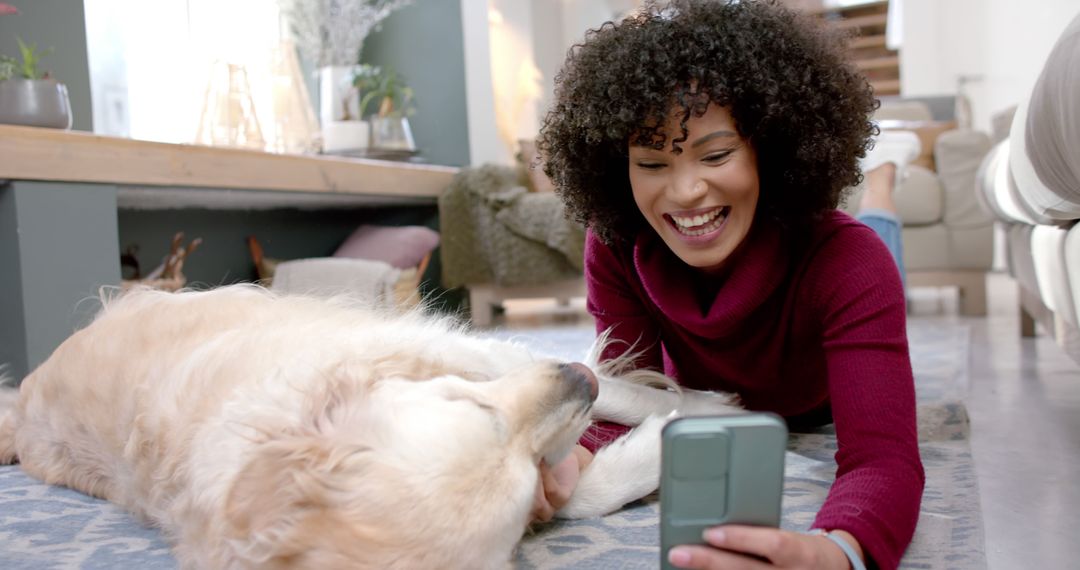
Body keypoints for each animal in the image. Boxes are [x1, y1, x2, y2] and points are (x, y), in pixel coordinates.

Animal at [0, 287, 743, 565]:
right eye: (512, 472)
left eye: (470, 407)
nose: (575, 382)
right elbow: (581, 490)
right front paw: (669, 441)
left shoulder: (456, 353)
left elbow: (624, 390)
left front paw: (710, 404)